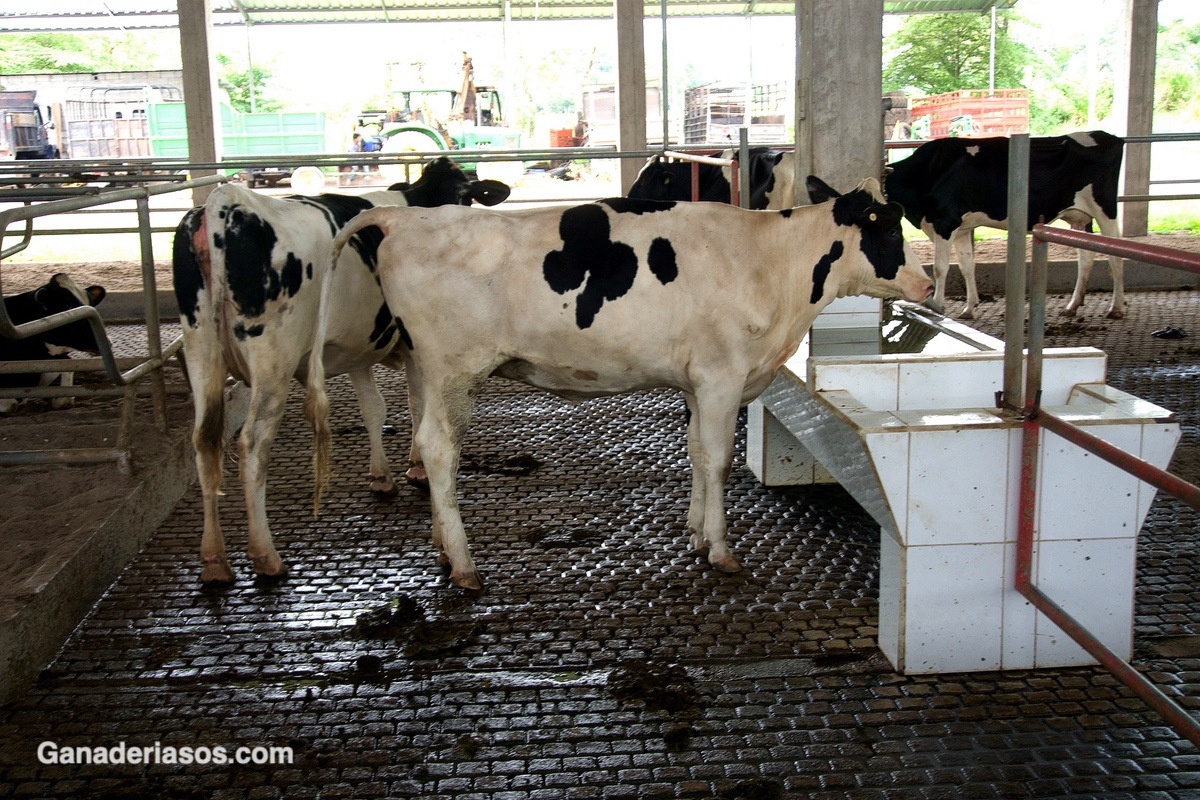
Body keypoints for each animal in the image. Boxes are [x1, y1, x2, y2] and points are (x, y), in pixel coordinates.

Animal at [176, 154, 511, 582]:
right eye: (465, 197)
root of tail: (225, 202)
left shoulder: (357, 348)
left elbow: (374, 409)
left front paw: (382, 475)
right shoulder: (413, 346)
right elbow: (416, 404)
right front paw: (417, 468)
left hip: (199, 345)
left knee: (204, 441)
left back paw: (215, 559)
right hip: (272, 358)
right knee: (251, 444)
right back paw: (266, 555)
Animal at [307, 176, 926, 587]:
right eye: (884, 229)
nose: (925, 283)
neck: (773, 264)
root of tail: (408, 218)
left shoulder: (698, 381)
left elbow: (697, 453)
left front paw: (696, 532)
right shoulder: (722, 376)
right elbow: (719, 460)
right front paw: (721, 548)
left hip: (428, 370)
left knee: (423, 440)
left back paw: (440, 543)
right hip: (455, 369)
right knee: (439, 451)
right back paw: (462, 563)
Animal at [883, 130, 1123, 319]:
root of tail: (1108, 136)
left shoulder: (945, 222)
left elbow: (940, 268)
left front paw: (938, 305)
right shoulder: (961, 229)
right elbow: (966, 265)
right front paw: (969, 307)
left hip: (1105, 210)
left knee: (1115, 255)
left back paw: (1116, 308)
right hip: (1080, 217)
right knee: (1086, 257)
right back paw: (1072, 306)